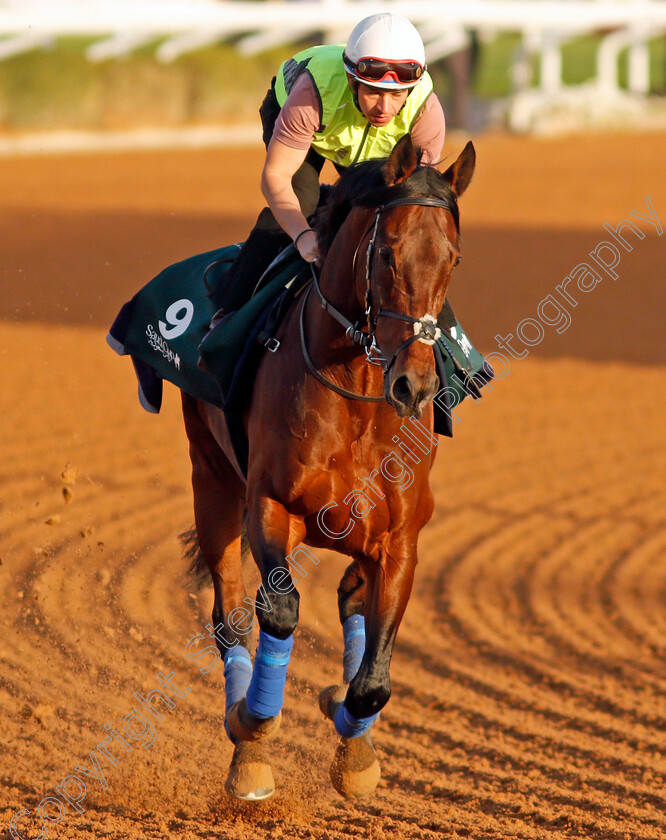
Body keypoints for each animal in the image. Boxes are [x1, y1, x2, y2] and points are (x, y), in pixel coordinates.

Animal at [182, 136, 472, 800]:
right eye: (387, 253)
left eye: (453, 258)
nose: (414, 385)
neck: (358, 392)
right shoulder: (270, 504)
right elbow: (278, 612)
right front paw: (253, 731)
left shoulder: (400, 538)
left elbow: (373, 682)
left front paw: (353, 745)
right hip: (212, 481)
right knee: (231, 616)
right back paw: (247, 748)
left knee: (349, 599)